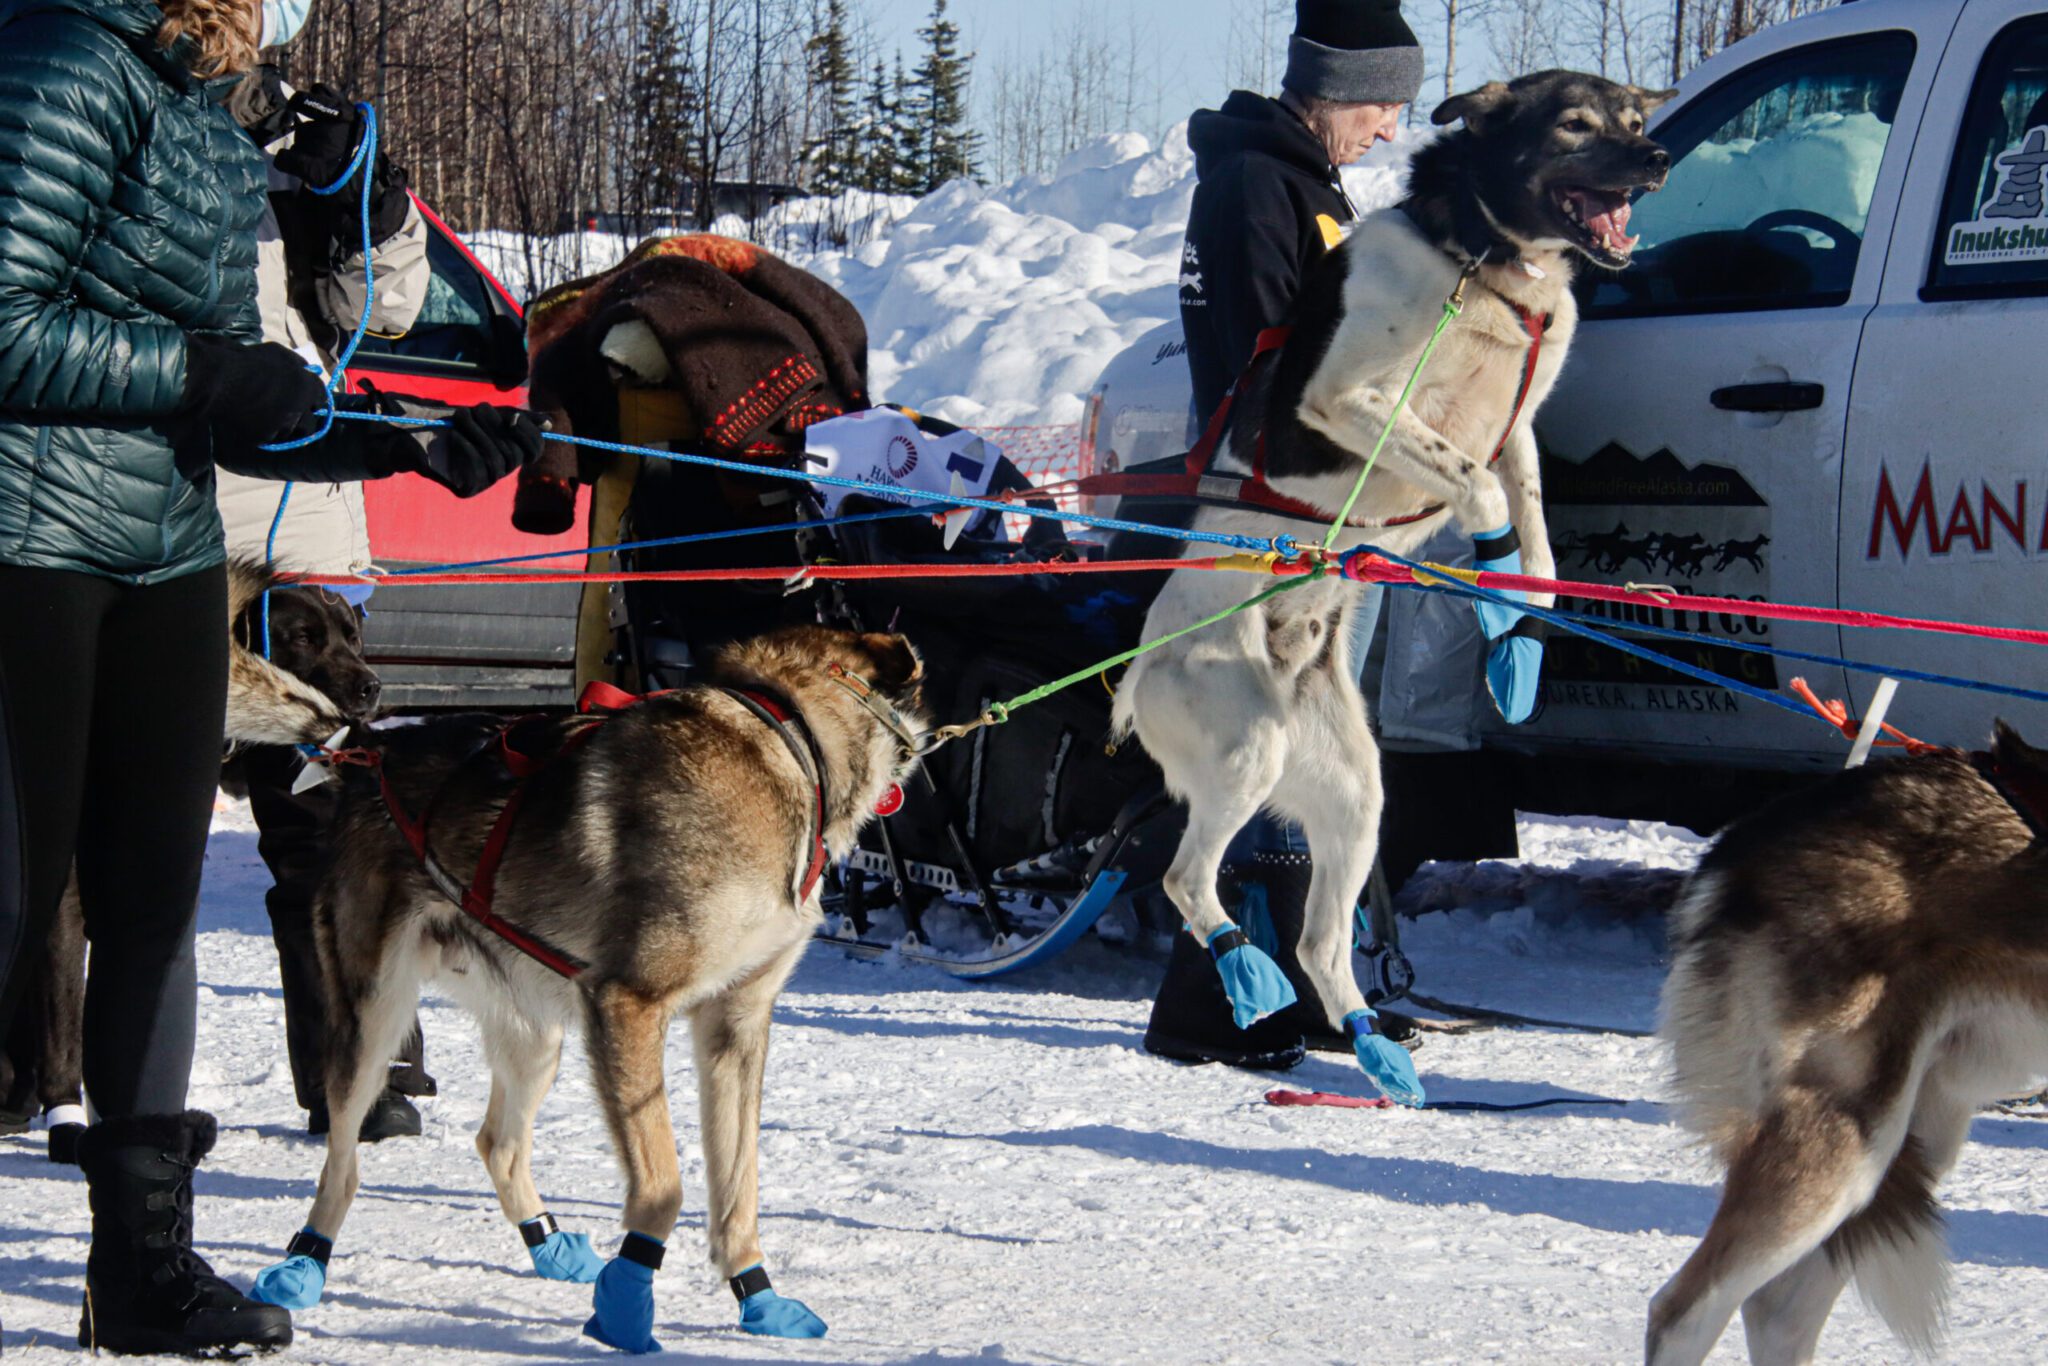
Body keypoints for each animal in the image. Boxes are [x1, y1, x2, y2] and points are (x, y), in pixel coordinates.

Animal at [260, 626, 925, 1343]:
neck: (789, 739)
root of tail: (372, 753)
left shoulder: (736, 1023)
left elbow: (737, 1184)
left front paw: (758, 1296)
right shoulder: (629, 1003)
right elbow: (663, 1187)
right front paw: (626, 1304)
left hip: (539, 1036)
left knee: (498, 1144)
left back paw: (548, 1243)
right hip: (375, 1018)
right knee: (342, 1165)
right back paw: (304, 1265)